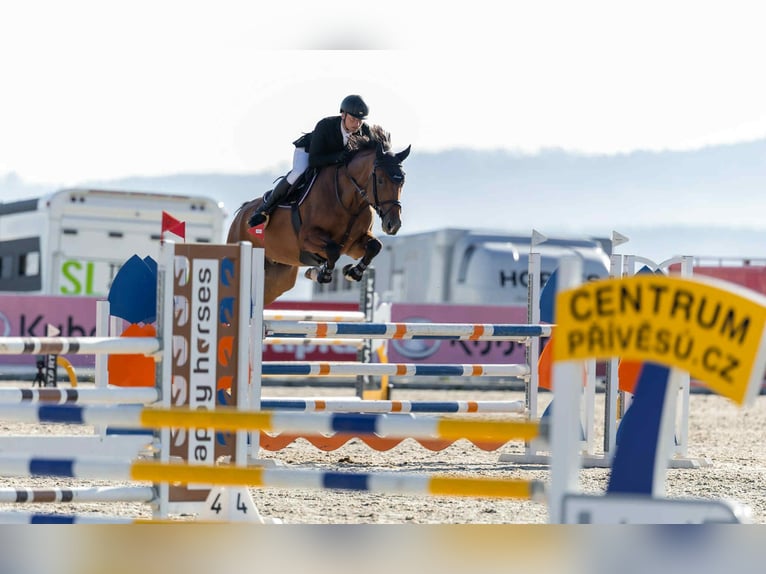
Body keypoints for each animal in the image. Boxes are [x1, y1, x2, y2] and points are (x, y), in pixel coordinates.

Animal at [227, 128, 411, 306]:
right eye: (380, 181)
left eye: (402, 182)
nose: (393, 225)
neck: (349, 201)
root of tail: (242, 213)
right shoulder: (307, 238)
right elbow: (333, 250)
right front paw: (322, 274)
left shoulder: (353, 246)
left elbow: (375, 246)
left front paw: (352, 272)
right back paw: (258, 217)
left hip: (279, 277)